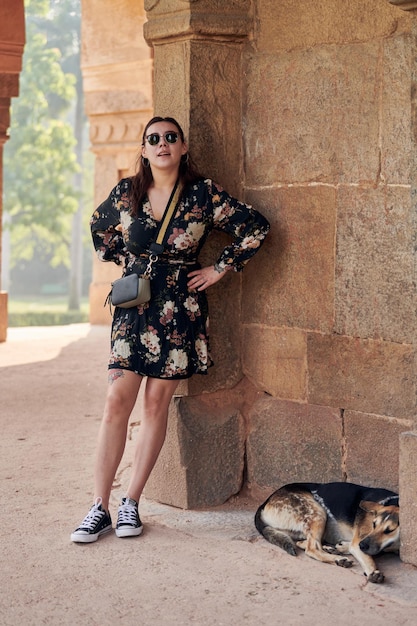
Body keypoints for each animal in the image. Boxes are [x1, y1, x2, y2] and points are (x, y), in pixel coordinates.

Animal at [254, 480, 400, 584]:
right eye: (373, 524)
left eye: (390, 530)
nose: (362, 545)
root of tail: (265, 502)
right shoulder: (359, 541)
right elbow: (367, 556)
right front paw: (373, 571)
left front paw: (341, 547)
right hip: (317, 512)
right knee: (311, 548)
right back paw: (338, 559)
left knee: (303, 543)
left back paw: (330, 549)